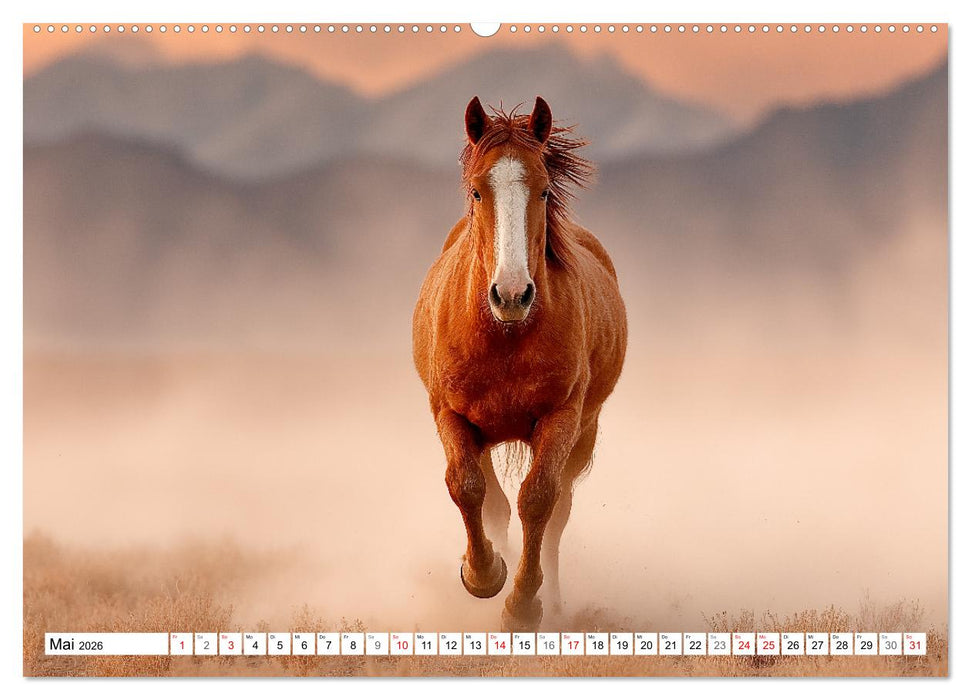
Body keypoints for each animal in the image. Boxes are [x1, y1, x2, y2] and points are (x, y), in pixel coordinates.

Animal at [412, 96, 628, 631]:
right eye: (477, 191)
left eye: (544, 190)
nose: (511, 294)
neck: (504, 334)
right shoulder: (451, 415)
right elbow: (469, 490)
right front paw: (484, 574)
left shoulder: (561, 418)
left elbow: (538, 501)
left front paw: (524, 604)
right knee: (494, 503)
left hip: (583, 432)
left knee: (557, 512)